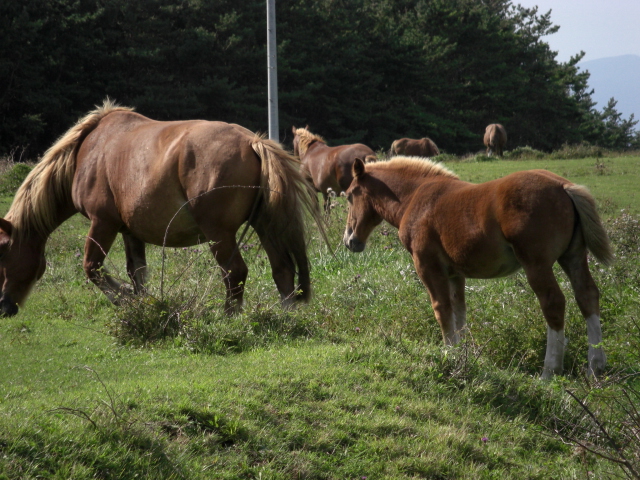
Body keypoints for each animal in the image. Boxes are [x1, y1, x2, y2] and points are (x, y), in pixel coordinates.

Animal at [0, 101, 322, 316]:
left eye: (2, 252)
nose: (4, 306)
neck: (86, 152)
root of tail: (253, 142)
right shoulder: (129, 232)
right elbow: (137, 274)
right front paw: (143, 305)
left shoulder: (102, 223)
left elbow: (93, 268)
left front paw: (126, 300)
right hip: (264, 225)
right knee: (282, 269)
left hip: (220, 234)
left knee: (235, 272)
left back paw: (229, 317)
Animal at [344, 156, 616, 376]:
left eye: (349, 195)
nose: (350, 240)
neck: (415, 198)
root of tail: (563, 187)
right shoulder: (455, 274)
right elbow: (459, 312)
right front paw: (463, 353)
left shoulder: (428, 266)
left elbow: (442, 309)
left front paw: (449, 354)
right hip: (573, 257)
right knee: (587, 295)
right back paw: (596, 366)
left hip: (536, 264)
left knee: (553, 303)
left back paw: (549, 372)